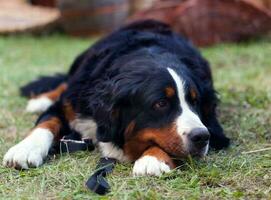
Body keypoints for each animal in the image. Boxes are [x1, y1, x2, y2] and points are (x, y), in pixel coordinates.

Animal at [3, 20, 231, 176]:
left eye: (195, 102)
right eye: (161, 103)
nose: (202, 137)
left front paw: (153, 159)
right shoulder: (69, 104)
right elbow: (47, 123)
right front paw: (25, 149)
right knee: (64, 82)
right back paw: (41, 100)